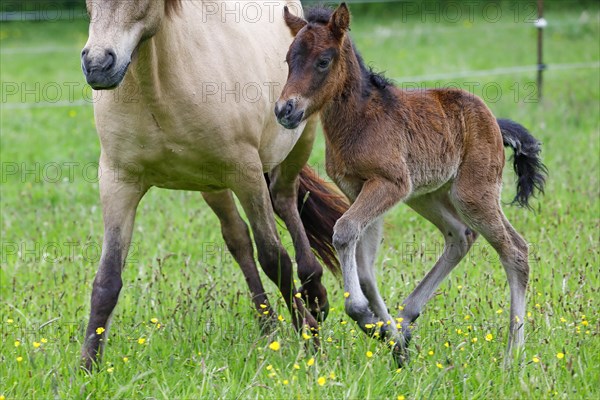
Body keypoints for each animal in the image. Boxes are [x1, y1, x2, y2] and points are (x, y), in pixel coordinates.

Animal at [78, 0, 346, 372]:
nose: (98, 65)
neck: (157, 88)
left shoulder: (246, 173)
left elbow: (275, 258)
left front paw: (310, 339)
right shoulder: (119, 182)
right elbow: (107, 278)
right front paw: (88, 366)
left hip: (297, 143)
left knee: (285, 201)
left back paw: (315, 295)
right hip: (212, 184)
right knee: (238, 239)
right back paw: (268, 325)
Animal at [274, 3, 548, 366]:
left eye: (323, 60)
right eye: (289, 60)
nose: (284, 110)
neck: (359, 119)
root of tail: (493, 120)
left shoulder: (389, 183)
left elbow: (345, 232)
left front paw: (363, 315)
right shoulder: (360, 188)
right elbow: (364, 265)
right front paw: (389, 336)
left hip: (472, 193)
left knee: (515, 250)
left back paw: (511, 356)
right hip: (426, 195)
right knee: (460, 235)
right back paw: (405, 321)